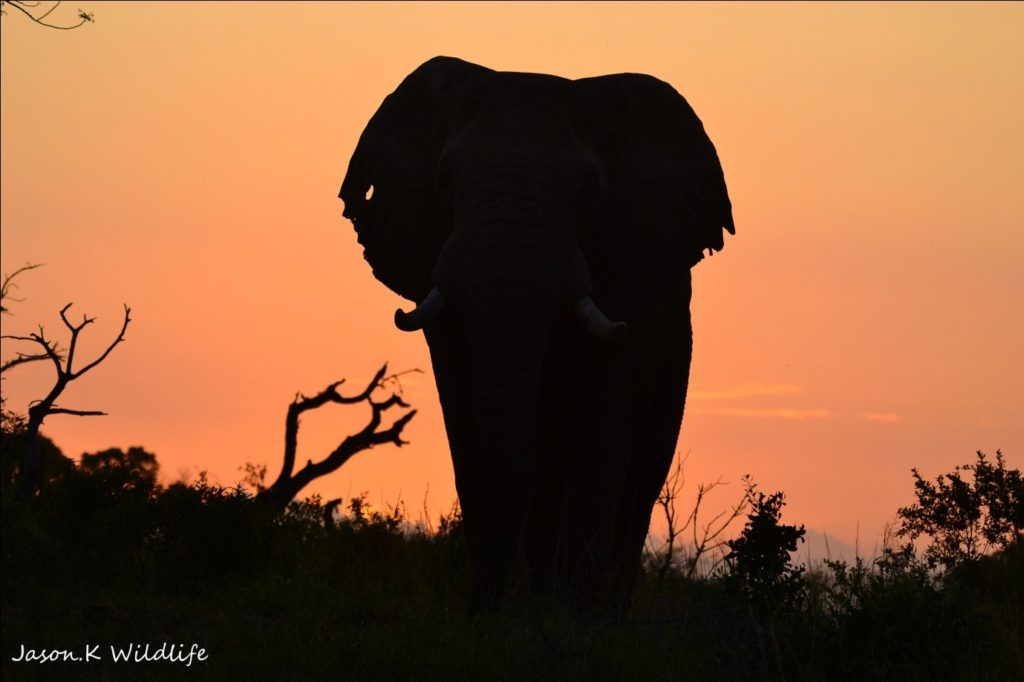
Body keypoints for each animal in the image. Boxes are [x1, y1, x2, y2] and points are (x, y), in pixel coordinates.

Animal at [339, 57, 733, 610]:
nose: (485, 602)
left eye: (590, 192)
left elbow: (604, 415)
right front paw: (508, 609)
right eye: (444, 183)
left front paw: (575, 614)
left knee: (641, 472)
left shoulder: (632, 270)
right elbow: (466, 413)